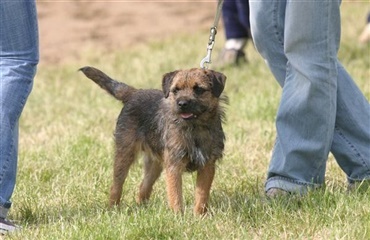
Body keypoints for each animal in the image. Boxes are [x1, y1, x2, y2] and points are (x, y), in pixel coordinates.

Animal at [79, 66, 227, 215]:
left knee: (144, 186)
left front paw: (199, 215)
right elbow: (175, 195)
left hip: (155, 164)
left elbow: (202, 195)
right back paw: (113, 209)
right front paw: (178, 216)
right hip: (124, 155)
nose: (182, 103)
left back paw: (141, 208)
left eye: (199, 89)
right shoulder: (174, 166)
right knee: (116, 185)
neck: (194, 128)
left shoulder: (207, 166)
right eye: (175, 90)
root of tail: (134, 93)